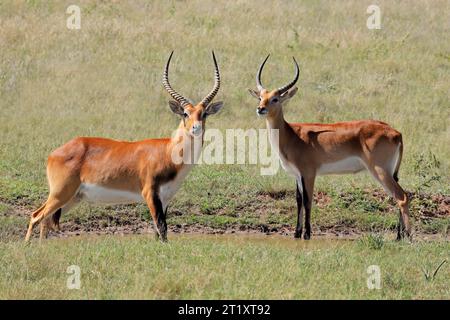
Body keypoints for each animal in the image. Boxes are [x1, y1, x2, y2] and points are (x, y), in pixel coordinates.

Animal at [25, 51, 223, 242]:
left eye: (204, 114)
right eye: (185, 113)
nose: (196, 128)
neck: (168, 152)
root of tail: (55, 153)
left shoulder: (165, 198)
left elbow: (159, 233)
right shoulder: (150, 194)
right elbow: (161, 228)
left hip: (72, 198)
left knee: (45, 221)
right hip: (61, 193)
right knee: (36, 216)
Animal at [250, 55, 412, 240]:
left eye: (275, 99)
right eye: (260, 97)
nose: (260, 109)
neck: (291, 135)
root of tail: (396, 132)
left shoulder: (309, 173)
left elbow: (308, 200)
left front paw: (307, 234)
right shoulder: (297, 175)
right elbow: (298, 200)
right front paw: (296, 233)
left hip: (380, 170)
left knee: (402, 197)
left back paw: (408, 237)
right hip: (390, 172)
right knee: (398, 197)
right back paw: (399, 236)